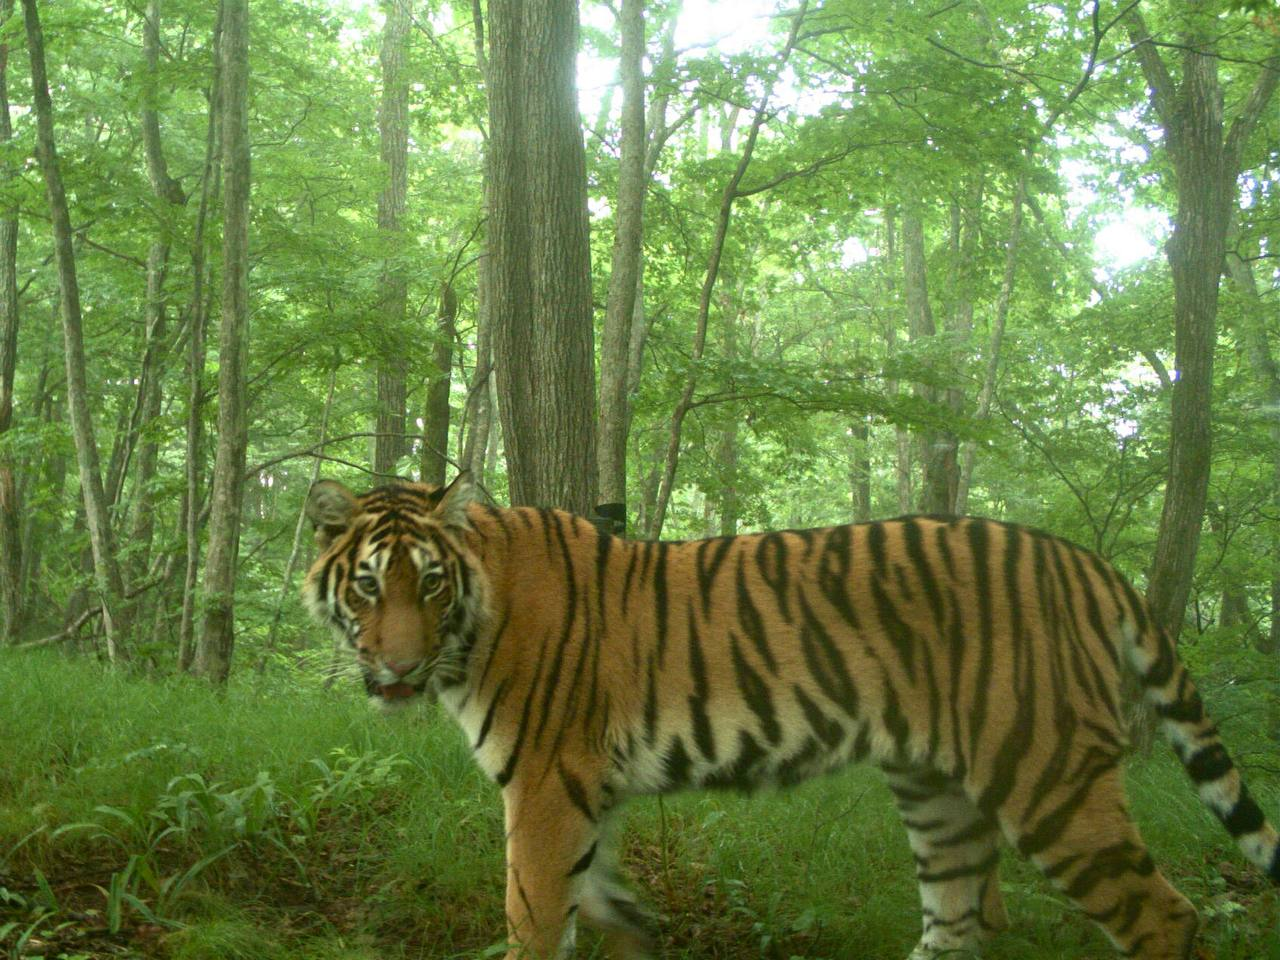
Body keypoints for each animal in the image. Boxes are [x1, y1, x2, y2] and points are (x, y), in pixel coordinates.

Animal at [302, 476, 1280, 960]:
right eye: (369, 586)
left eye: (430, 583)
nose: (397, 666)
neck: (476, 616)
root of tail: (1083, 560)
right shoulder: (587, 793)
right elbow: (602, 901)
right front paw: (640, 934)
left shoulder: (544, 786)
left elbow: (535, 920)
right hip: (937, 792)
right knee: (958, 922)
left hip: (1046, 776)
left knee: (1164, 919)